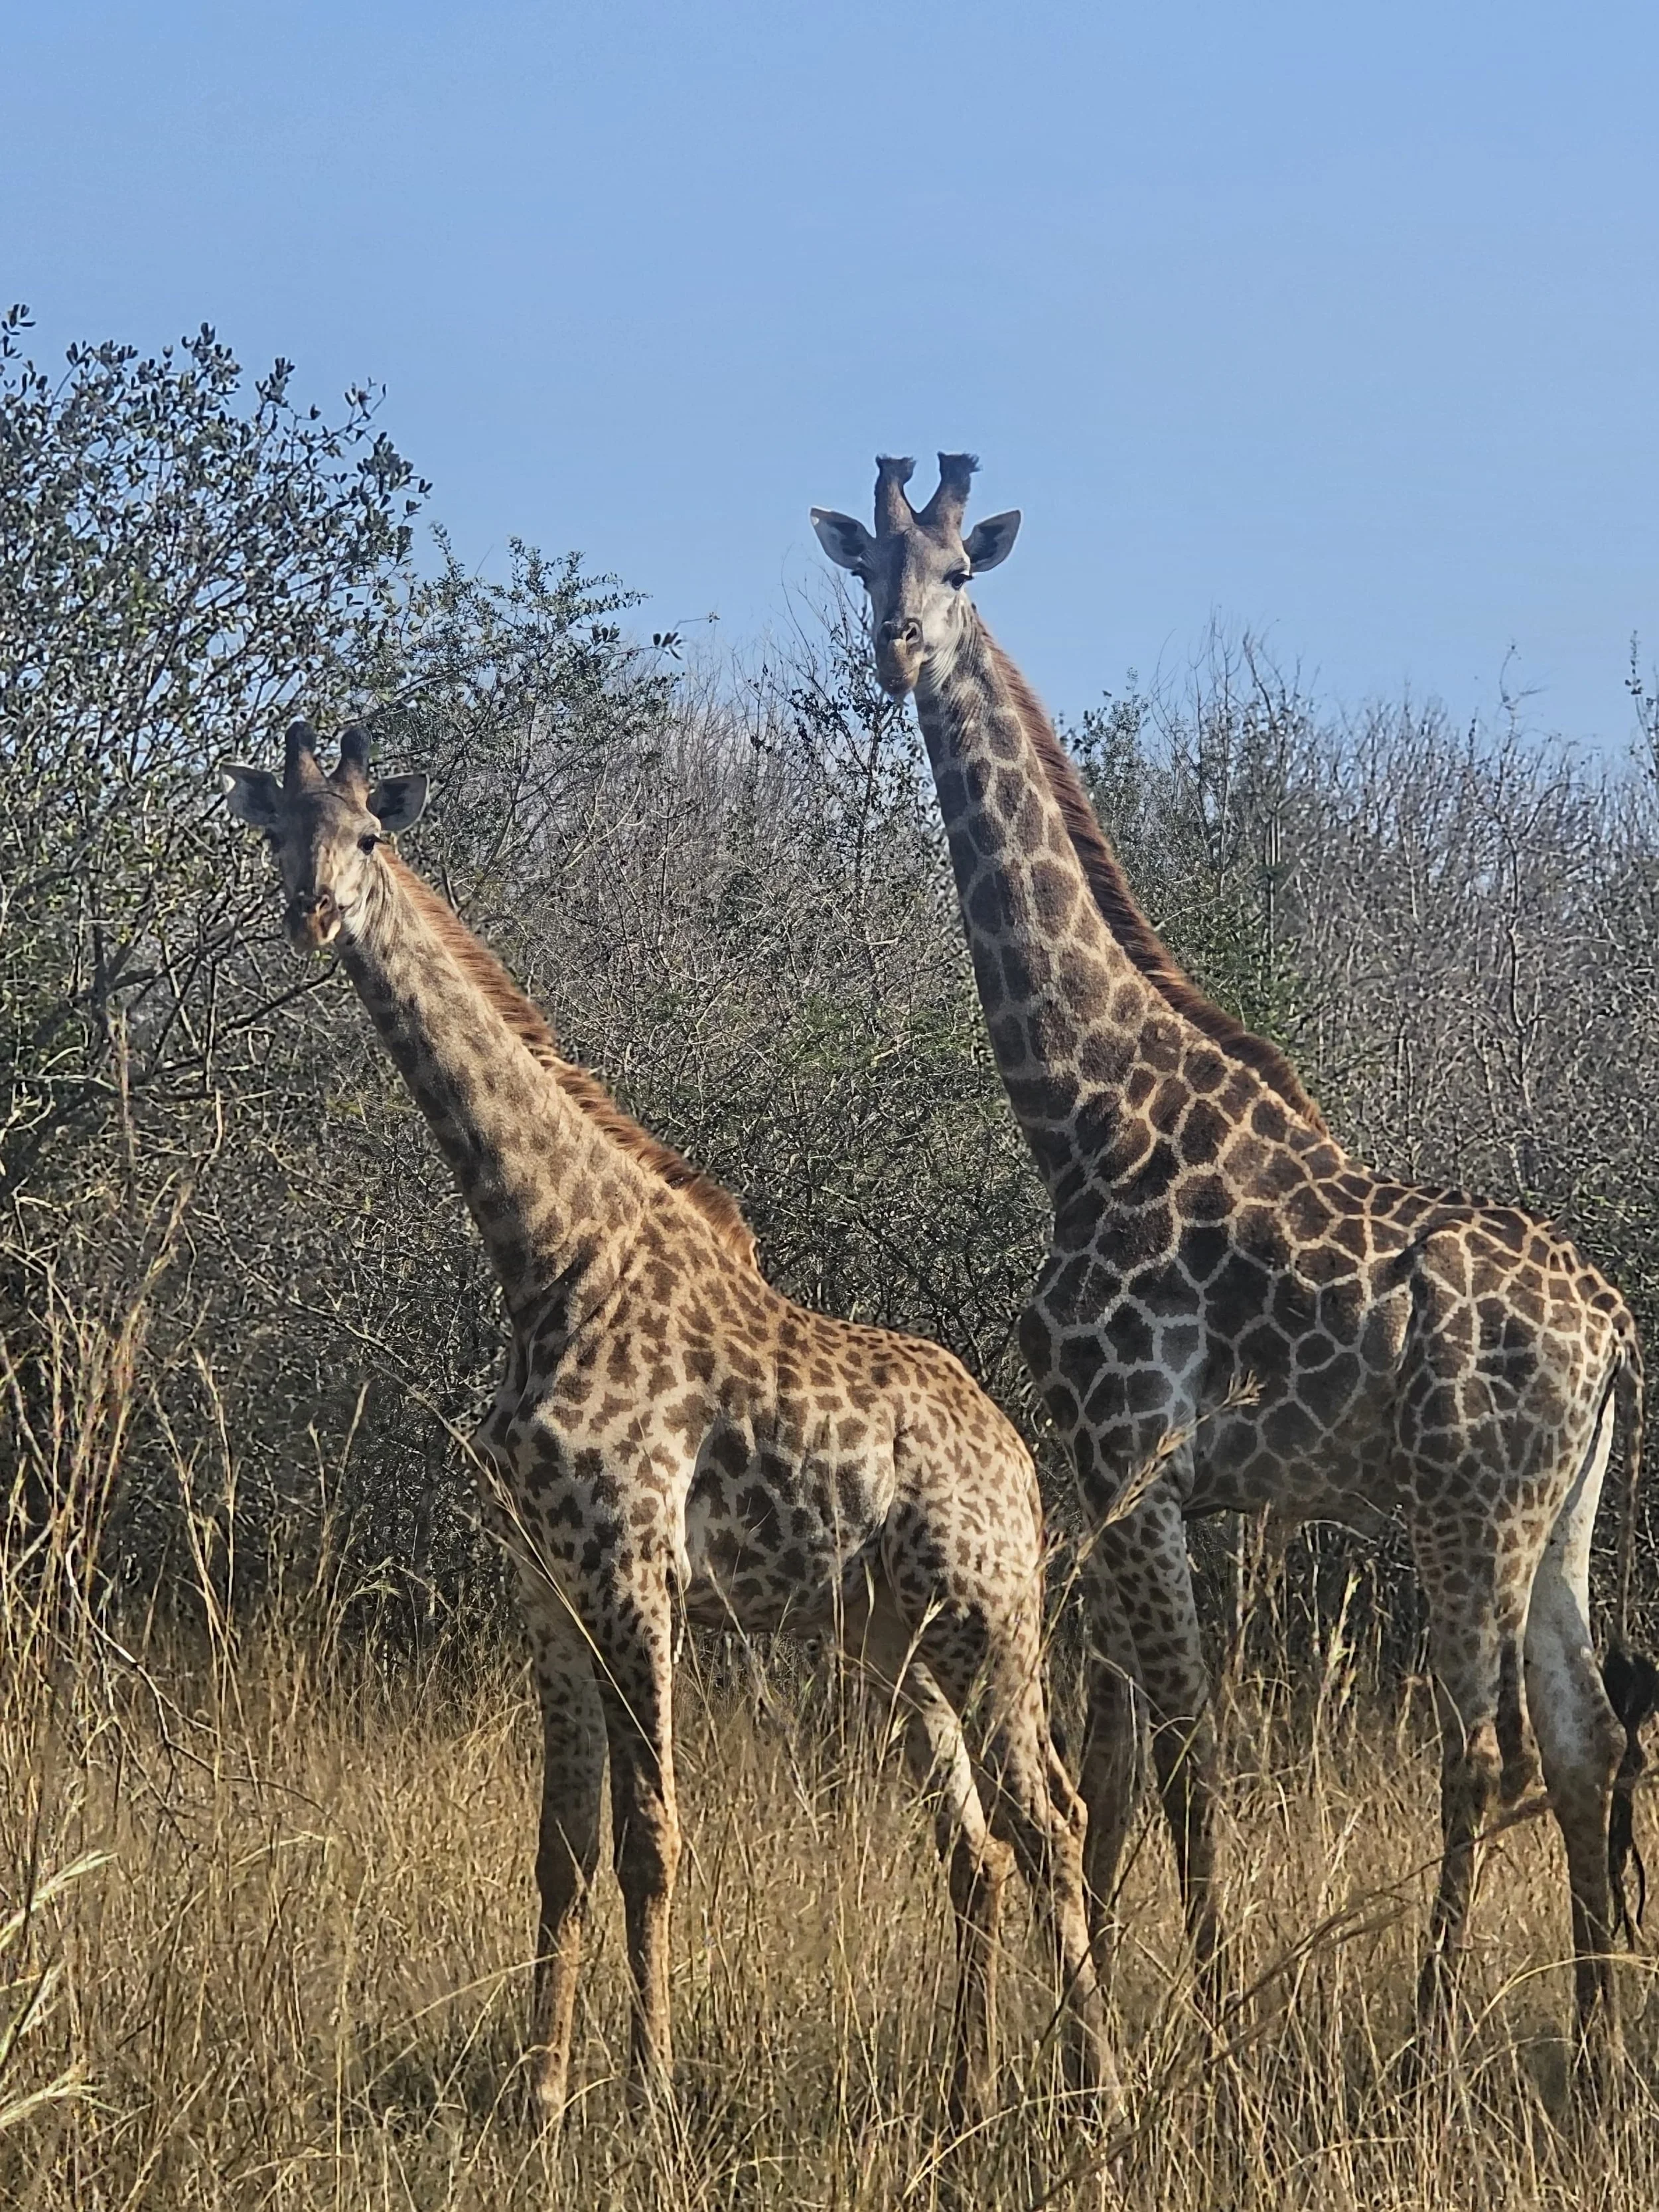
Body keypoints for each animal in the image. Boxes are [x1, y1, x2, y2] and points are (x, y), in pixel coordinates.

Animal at [218, 720, 1120, 2132]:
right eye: (277, 830)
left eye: (369, 833)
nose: (311, 912)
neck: (546, 1256)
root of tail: (1023, 1466)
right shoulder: (546, 1582)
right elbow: (559, 1846)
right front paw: (543, 2094)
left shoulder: (638, 1572)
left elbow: (653, 1836)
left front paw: (646, 2093)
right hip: (892, 1643)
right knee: (974, 1843)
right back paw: (968, 2097)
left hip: (994, 1618)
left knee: (1055, 1818)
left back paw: (1100, 2097)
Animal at [812, 454, 1656, 2068]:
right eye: (864, 567)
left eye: (961, 572)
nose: (895, 649)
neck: (1082, 1115)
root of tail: (1615, 1330)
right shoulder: (1108, 1468)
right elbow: (1114, 1760)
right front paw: (1098, 2032)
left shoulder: (1138, 1449)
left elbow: (1190, 1756)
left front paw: (1204, 2028)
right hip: (1563, 1508)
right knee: (1585, 1736)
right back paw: (1590, 2043)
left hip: (1467, 1502)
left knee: (1481, 1746)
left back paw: (1425, 2041)